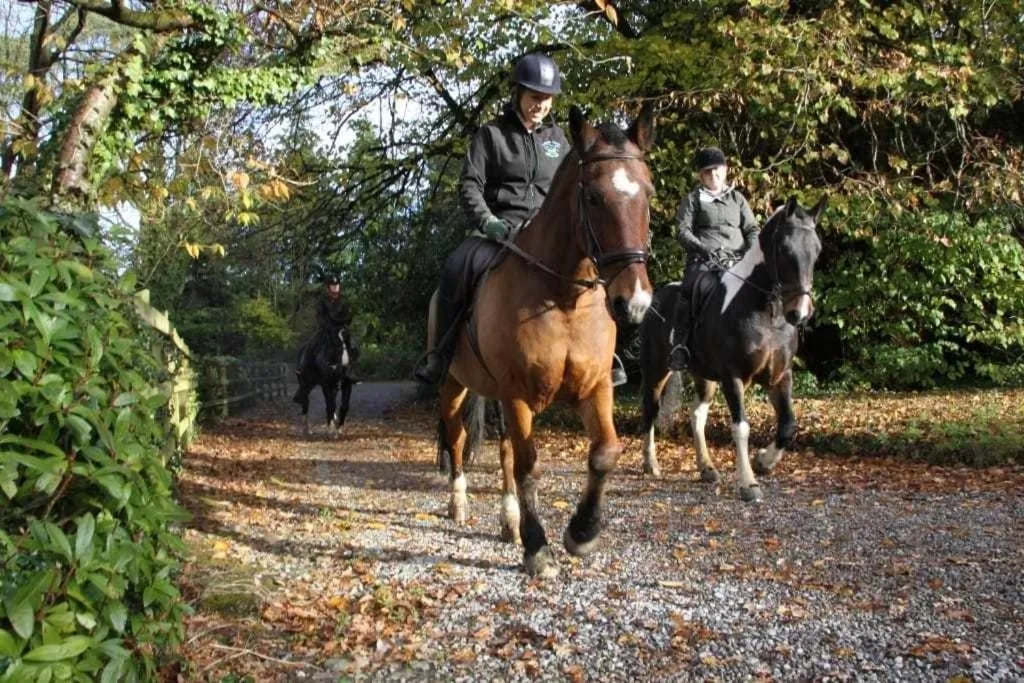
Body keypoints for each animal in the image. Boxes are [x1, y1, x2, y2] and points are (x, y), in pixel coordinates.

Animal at [428, 105, 655, 577]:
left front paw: (581, 534)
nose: (634, 302)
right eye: (593, 197)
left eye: (647, 192)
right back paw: (460, 506)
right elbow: (529, 466)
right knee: (457, 439)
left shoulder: (596, 387)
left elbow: (605, 452)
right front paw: (538, 549)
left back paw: (509, 522)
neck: (563, 298)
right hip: (452, 386)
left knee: (502, 453)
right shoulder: (518, 394)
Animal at [636, 196, 824, 501]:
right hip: (656, 371)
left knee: (697, 415)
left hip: (703, 376)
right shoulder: (733, 377)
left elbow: (787, 425)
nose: (800, 313)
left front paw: (763, 462)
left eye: (817, 250)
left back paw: (707, 468)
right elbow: (741, 427)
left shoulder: (780, 377)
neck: (767, 313)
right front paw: (748, 483)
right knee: (650, 411)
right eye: (785, 249)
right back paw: (651, 463)